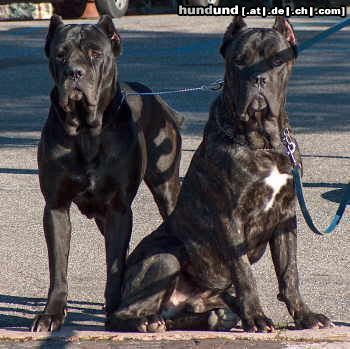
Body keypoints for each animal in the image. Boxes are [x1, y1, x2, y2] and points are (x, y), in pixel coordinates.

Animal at [32, 14, 183, 332]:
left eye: (95, 53)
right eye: (60, 54)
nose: (74, 73)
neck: (86, 131)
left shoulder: (118, 209)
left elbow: (114, 263)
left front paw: (116, 312)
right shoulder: (56, 207)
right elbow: (58, 266)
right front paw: (52, 313)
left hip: (166, 188)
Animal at [107, 17, 334, 332]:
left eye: (277, 60)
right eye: (239, 61)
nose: (258, 79)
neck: (263, 141)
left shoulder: (286, 216)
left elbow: (290, 272)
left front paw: (304, 315)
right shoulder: (230, 217)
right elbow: (244, 272)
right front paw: (257, 318)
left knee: (199, 313)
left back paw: (212, 317)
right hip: (165, 256)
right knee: (122, 313)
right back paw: (145, 322)